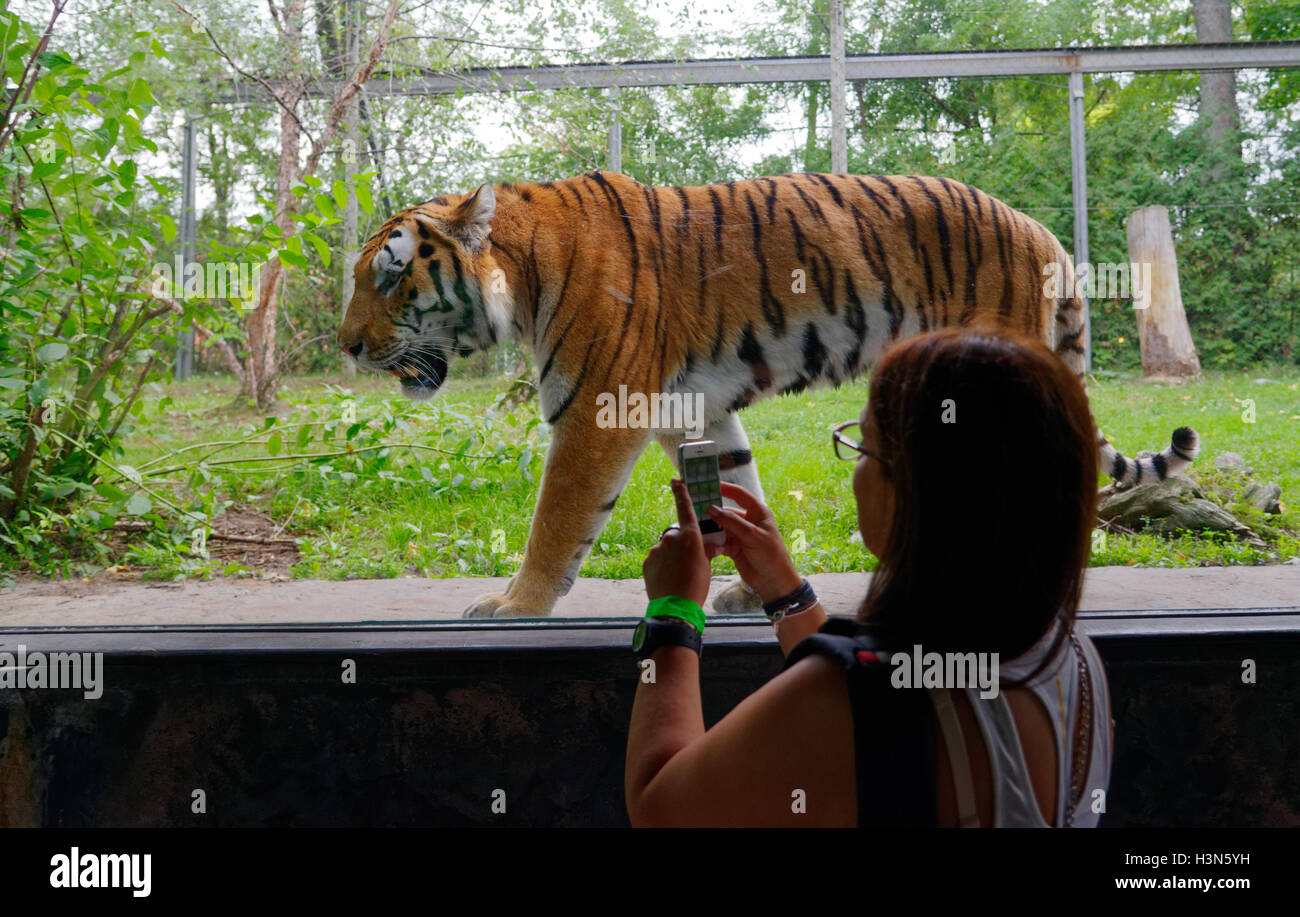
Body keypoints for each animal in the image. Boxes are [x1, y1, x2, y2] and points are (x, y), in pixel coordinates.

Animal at [335, 169, 1196, 619]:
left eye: (391, 276)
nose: (346, 345)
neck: (523, 274)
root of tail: (1038, 228)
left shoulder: (599, 410)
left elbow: (556, 519)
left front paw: (515, 605)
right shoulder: (692, 408)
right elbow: (738, 490)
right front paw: (757, 588)